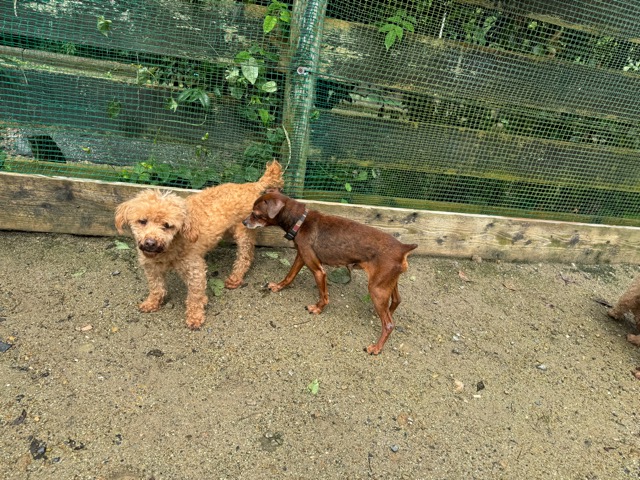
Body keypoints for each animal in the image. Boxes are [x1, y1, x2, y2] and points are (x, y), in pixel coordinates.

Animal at [115, 161, 283, 329]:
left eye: (167, 225)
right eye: (142, 221)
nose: (150, 243)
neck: (168, 249)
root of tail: (252, 185)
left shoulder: (195, 269)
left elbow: (195, 296)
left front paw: (195, 316)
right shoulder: (151, 267)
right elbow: (156, 287)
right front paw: (152, 303)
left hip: (244, 233)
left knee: (245, 256)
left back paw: (235, 278)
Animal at [243, 191, 418, 354]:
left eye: (255, 214)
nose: (243, 222)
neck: (300, 221)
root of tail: (403, 248)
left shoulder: (319, 271)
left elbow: (324, 296)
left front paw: (317, 309)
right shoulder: (301, 257)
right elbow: (289, 275)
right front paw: (278, 287)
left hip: (376, 289)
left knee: (389, 324)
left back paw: (376, 347)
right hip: (387, 283)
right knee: (396, 301)